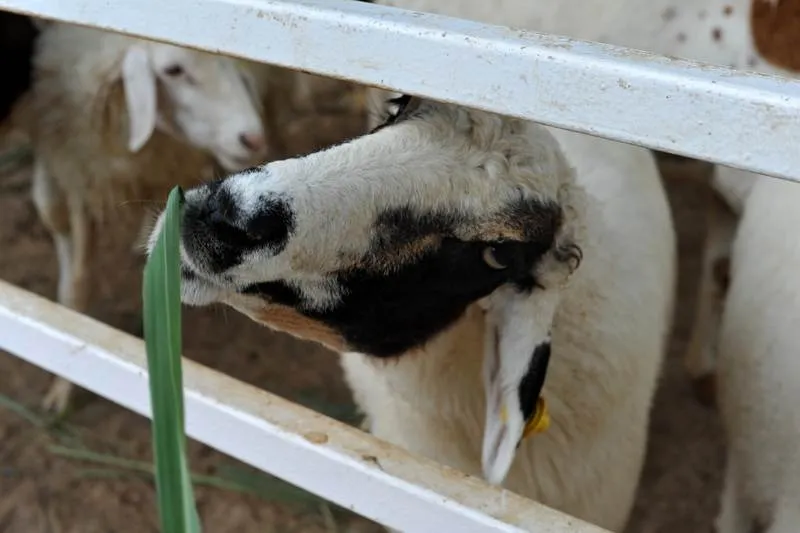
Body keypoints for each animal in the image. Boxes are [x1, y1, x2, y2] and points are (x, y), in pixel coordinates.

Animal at [18, 21, 269, 414]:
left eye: (229, 61)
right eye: (173, 70)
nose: (253, 139)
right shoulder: (78, 164)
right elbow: (74, 274)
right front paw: (62, 381)